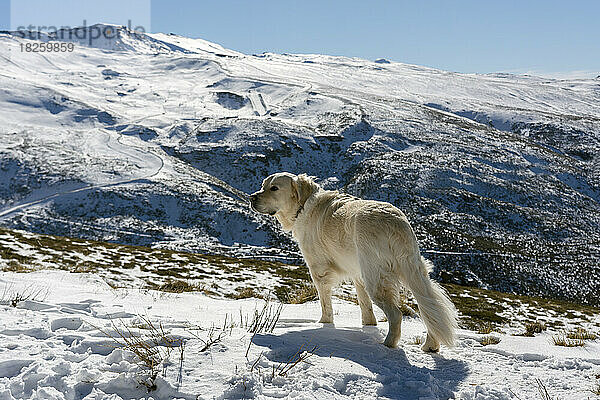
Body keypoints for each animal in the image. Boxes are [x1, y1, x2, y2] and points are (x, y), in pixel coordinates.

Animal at [251, 172, 458, 350]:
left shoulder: (319, 270)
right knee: (431, 307)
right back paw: (431, 345)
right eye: (262, 186)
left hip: (376, 278)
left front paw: (324, 324)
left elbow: (325, 303)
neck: (303, 205)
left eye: (274, 188)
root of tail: (394, 222)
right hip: (412, 270)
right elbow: (365, 307)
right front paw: (368, 326)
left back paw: (388, 345)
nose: (252, 197)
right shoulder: (357, 274)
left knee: (397, 314)